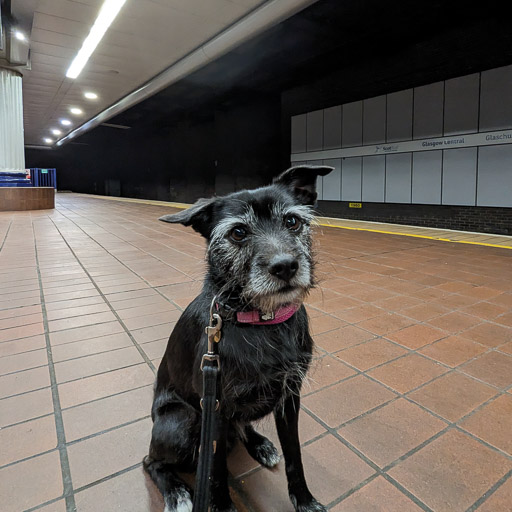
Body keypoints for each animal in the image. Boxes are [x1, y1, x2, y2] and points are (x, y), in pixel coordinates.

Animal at [144, 166, 334, 510]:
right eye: (238, 233)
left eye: (292, 221)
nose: (285, 266)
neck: (262, 321)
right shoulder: (215, 408)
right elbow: (216, 467)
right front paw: (220, 503)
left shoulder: (290, 397)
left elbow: (295, 454)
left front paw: (304, 499)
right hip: (182, 420)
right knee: (151, 461)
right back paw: (176, 492)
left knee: (242, 427)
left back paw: (260, 444)